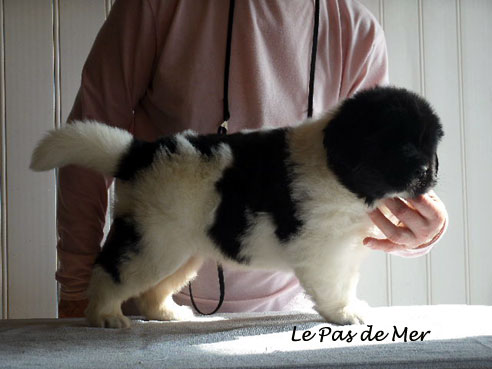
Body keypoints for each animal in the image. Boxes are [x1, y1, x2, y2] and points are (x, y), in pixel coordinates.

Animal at [32, 86, 444, 328]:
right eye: (399, 145)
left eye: (429, 146)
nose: (427, 172)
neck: (337, 168)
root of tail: (138, 154)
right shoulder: (323, 250)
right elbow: (333, 286)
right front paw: (345, 313)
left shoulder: (346, 248)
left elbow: (347, 281)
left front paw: (352, 306)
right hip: (154, 242)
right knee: (112, 272)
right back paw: (104, 314)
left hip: (181, 251)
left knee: (152, 290)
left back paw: (166, 313)